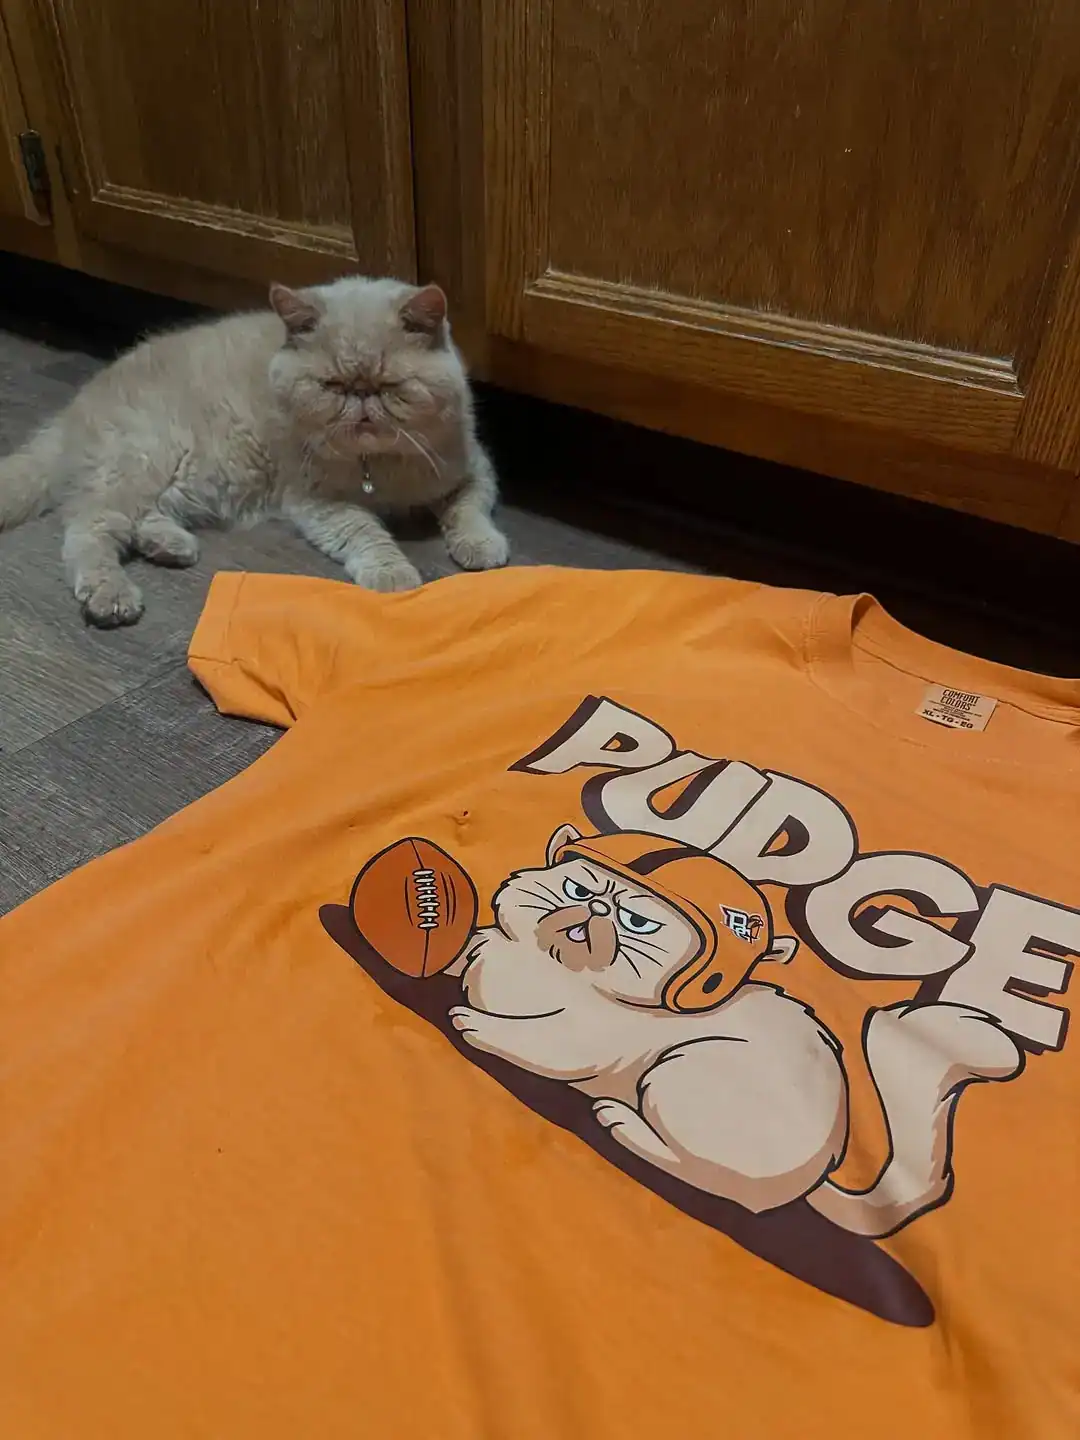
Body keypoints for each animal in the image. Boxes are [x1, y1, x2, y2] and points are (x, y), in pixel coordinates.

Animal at [0, 276, 509, 626]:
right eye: (330, 385)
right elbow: (365, 532)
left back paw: (171, 545)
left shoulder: (474, 469)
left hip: (189, 480)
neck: (378, 469)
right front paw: (392, 572)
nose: (361, 398)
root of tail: (72, 410)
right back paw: (111, 595)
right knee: (88, 530)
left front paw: (480, 545)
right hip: (145, 462)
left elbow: (468, 509)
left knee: (141, 519)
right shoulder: (317, 501)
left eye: (389, 386)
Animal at [445, 824, 1024, 1234]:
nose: (597, 905)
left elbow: (537, 1041)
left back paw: (625, 1123)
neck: (556, 967)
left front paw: (476, 1022)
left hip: (681, 1075)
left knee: (714, 1180)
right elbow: (474, 951)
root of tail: (817, 1174)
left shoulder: (583, 1040)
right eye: (576, 887)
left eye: (638, 924)